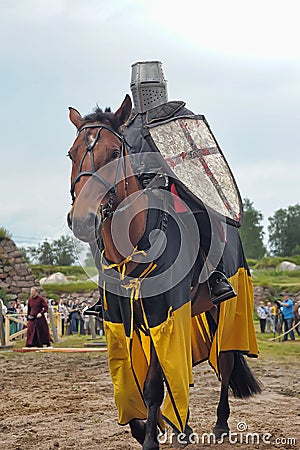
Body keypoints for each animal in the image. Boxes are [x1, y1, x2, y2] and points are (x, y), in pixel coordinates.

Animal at [67, 93, 262, 448]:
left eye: (114, 153)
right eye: (72, 154)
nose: (83, 219)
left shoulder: (164, 316)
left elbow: (153, 385)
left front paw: (150, 438)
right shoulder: (121, 319)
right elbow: (128, 382)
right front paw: (145, 426)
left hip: (225, 310)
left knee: (226, 362)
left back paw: (220, 424)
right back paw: (183, 427)